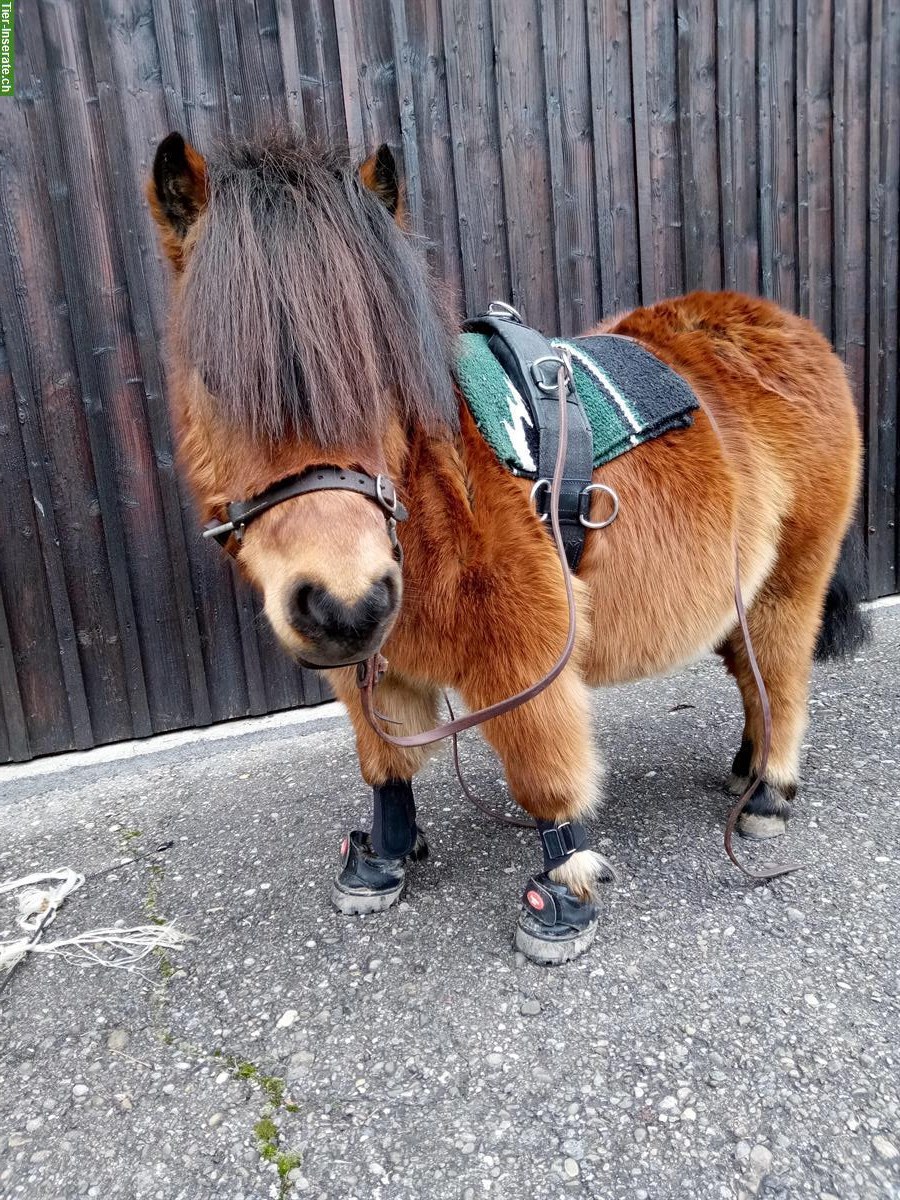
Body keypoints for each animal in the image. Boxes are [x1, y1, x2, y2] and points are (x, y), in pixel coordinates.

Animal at [148, 126, 868, 960]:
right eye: (213, 380)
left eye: (384, 376)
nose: (344, 604)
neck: (435, 500)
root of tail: (788, 327)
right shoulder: (374, 668)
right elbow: (386, 765)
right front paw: (382, 859)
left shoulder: (526, 660)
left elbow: (544, 778)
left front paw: (562, 894)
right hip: (735, 596)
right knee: (752, 681)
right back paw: (745, 770)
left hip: (791, 579)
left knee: (779, 677)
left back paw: (770, 795)